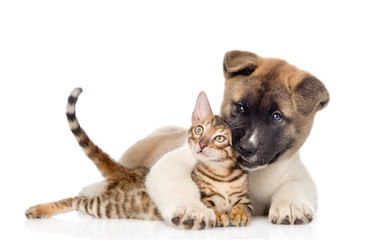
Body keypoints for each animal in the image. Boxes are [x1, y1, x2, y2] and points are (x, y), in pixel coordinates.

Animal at [25, 89, 251, 228]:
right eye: (199, 130)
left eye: (219, 138)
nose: (201, 144)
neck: (222, 173)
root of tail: (129, 172)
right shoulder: (204, 198)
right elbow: (211, 207)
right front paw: (218, 216)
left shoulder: (245, 199)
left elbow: (242, 207)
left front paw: (238, 216)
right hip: (109, 206)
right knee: (76, 199)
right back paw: (41, 209)